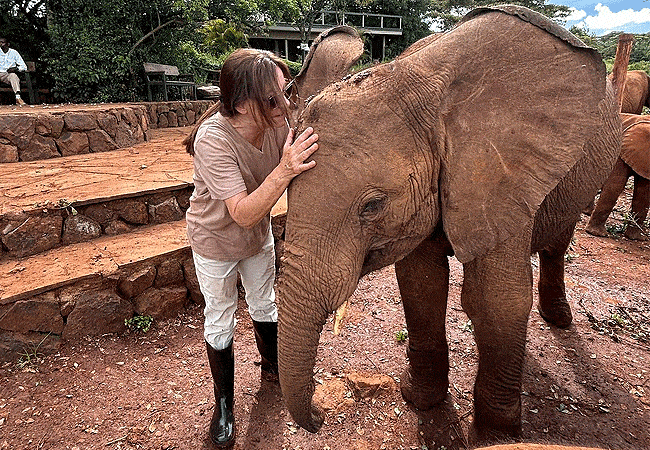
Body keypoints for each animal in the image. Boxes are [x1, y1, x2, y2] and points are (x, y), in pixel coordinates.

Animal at [276, 3, 620, 440]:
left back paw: (558, 319)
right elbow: (421, 285)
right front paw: (419, 398)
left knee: (557, 241)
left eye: (372, 206)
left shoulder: (502, 171)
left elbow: (498, 299)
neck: (423, 89)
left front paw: (495, 435)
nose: (319, 416)